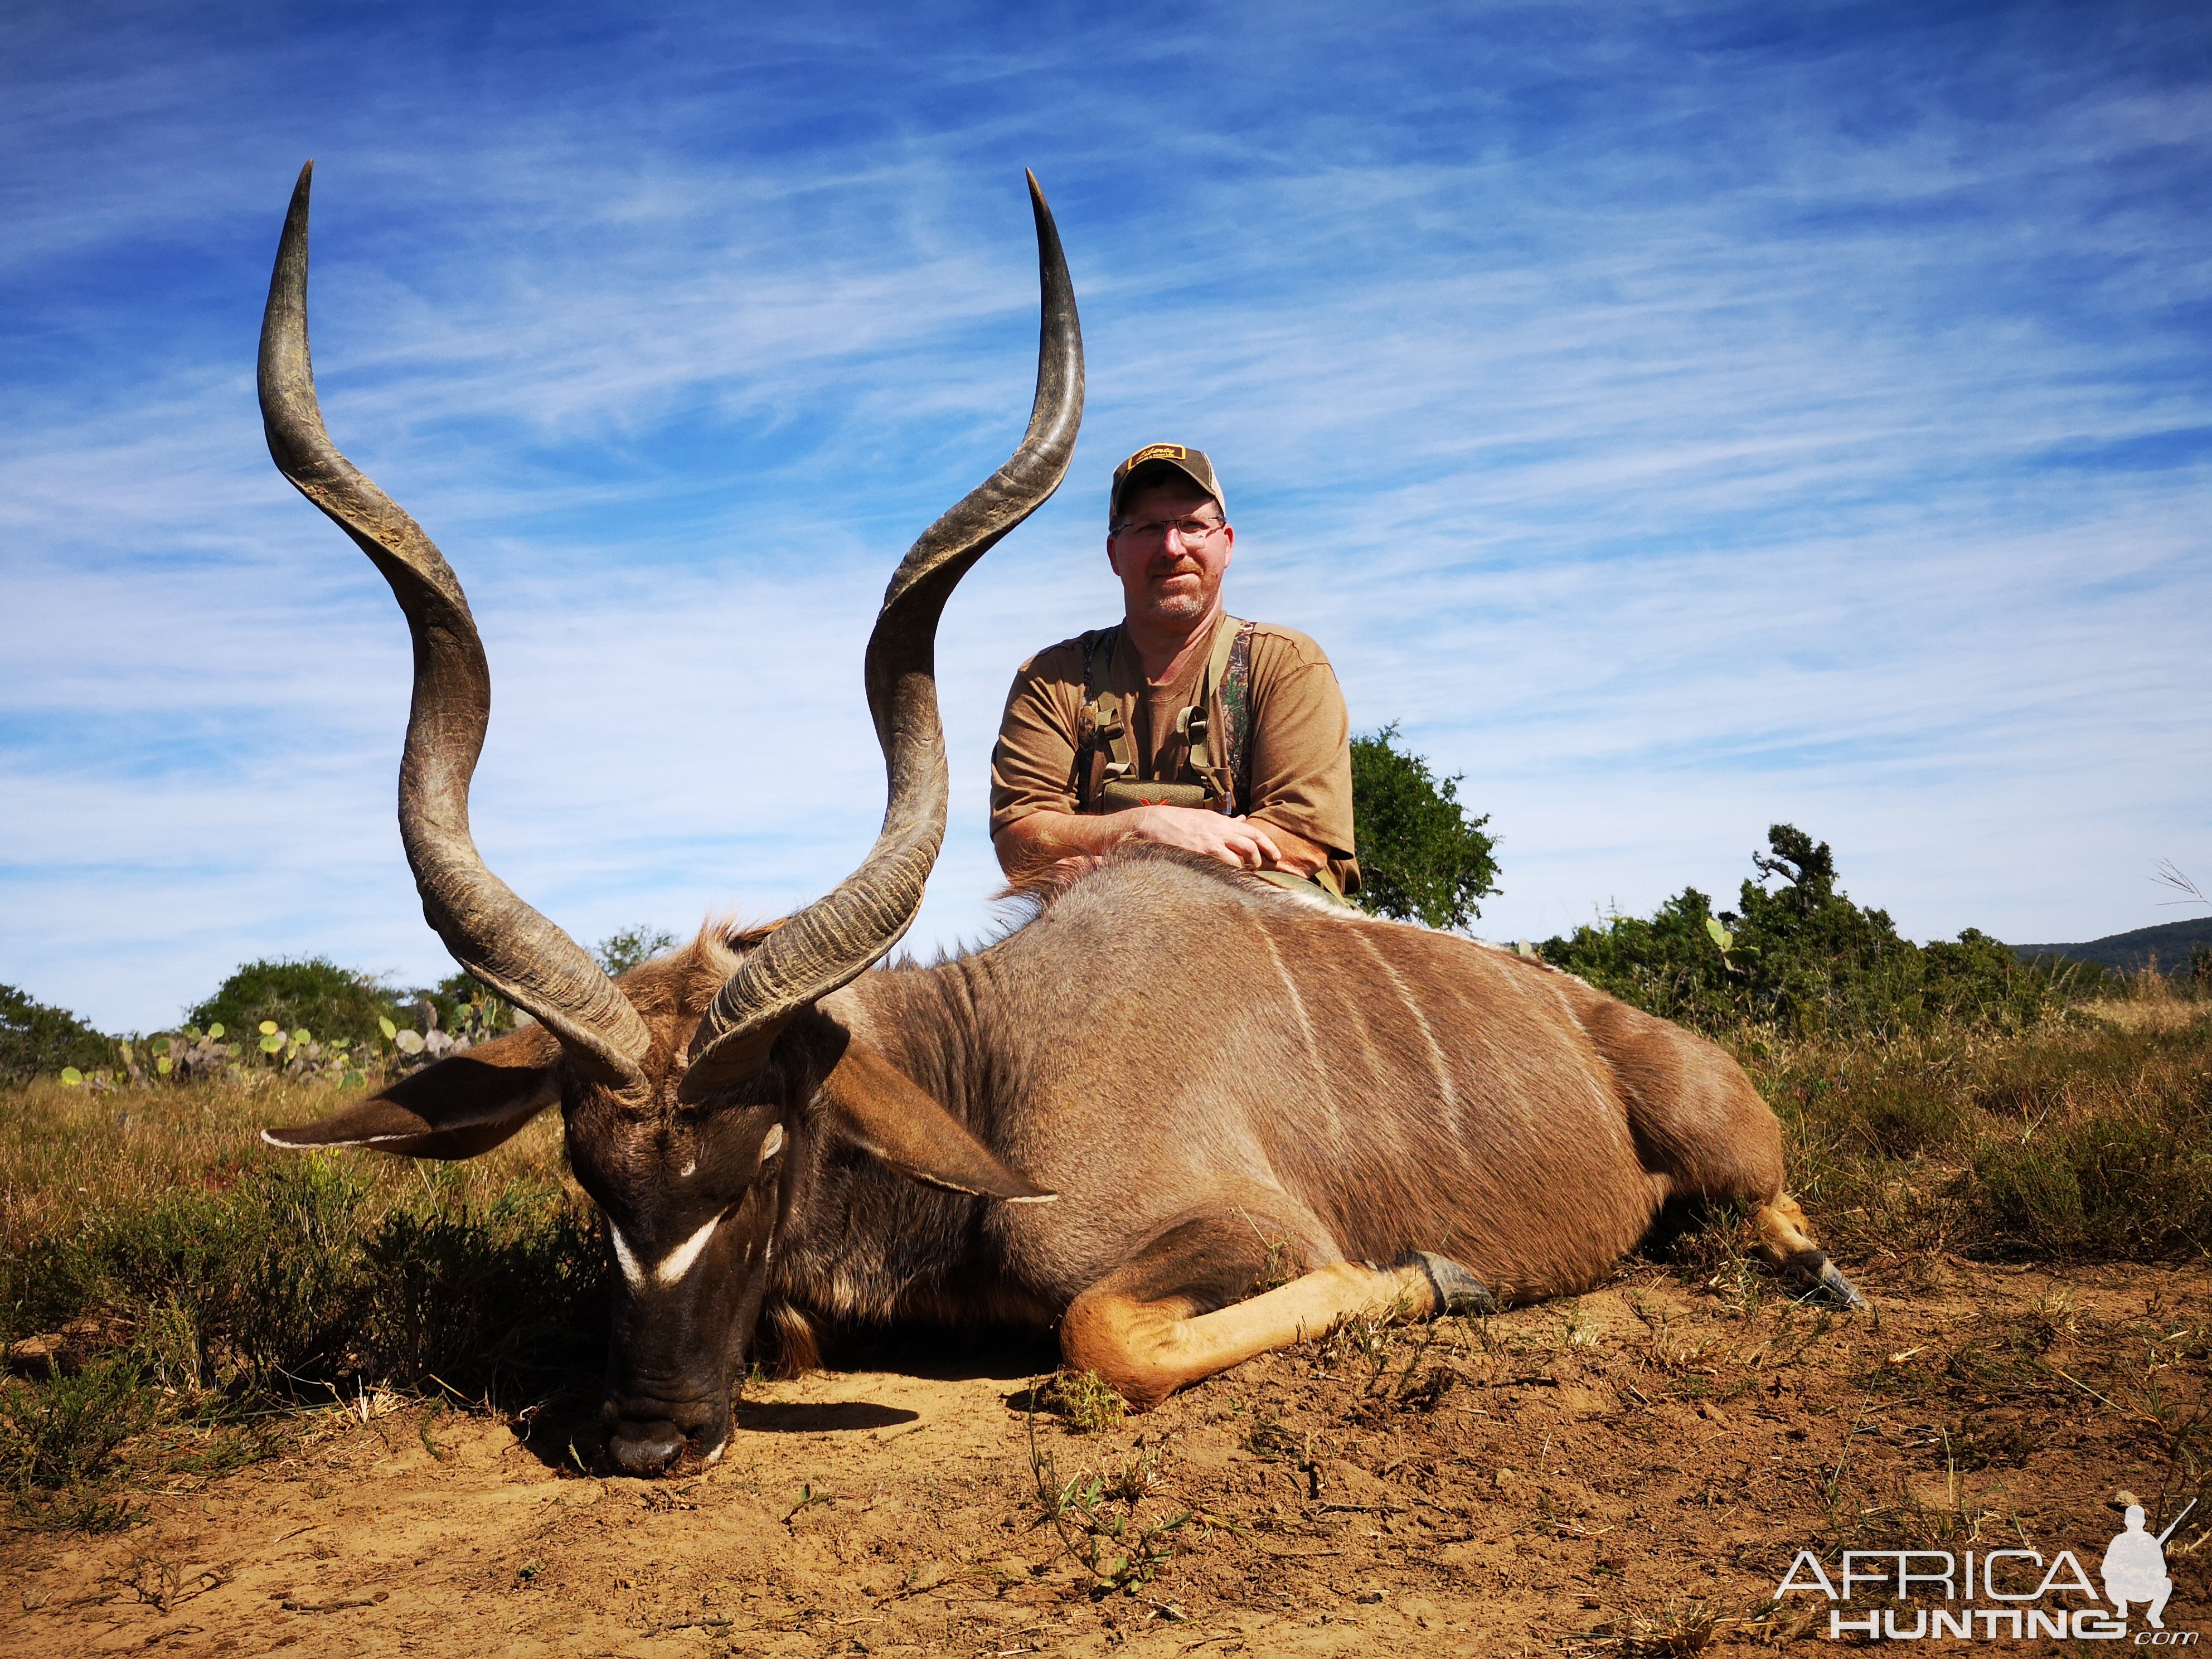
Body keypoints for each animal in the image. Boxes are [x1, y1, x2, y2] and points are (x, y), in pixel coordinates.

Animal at [254, 159, 1866, 1477]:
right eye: (586, 1172)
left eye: (766, 1157)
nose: (648, 1440)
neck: (989, 1064)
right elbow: (803, 1331)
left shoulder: (1229, 1232)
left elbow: (1105, 1328)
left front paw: (1438, 1278)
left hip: (1723, 1141)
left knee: (1770, 1203)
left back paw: (1818, 1272)